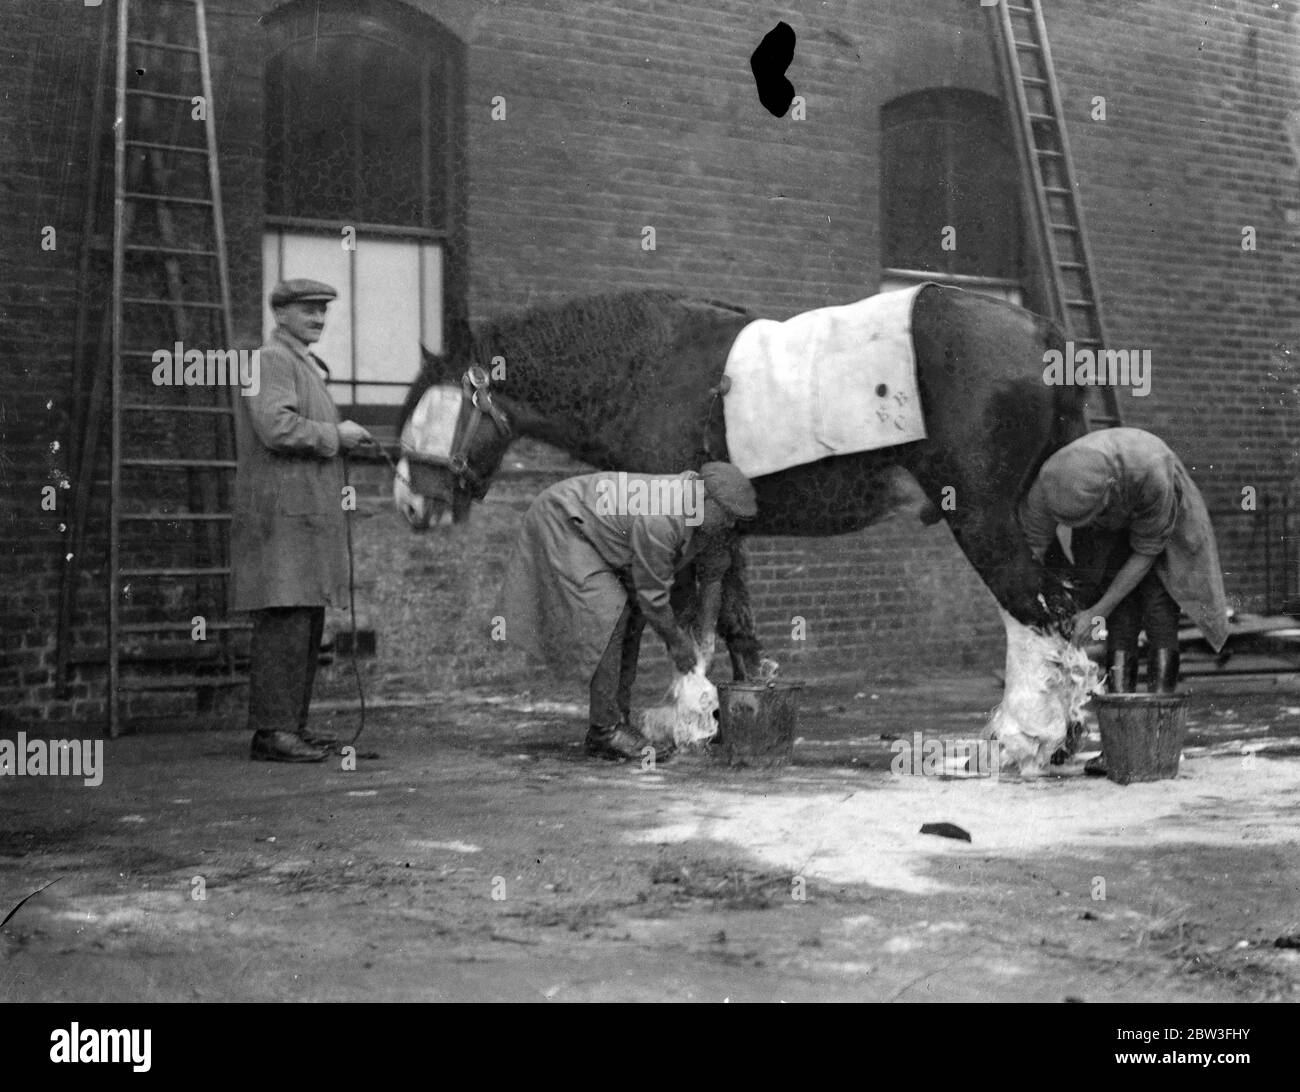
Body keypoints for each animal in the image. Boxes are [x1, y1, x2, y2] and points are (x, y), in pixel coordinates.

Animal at [392, 282, 1086, 676]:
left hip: (982, 518)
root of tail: (1041, 331)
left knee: (1042, 613)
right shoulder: (725, 531)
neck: (645, 374)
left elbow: (690, 622)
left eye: (436, 406)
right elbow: (734, 619)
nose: (409, 503)